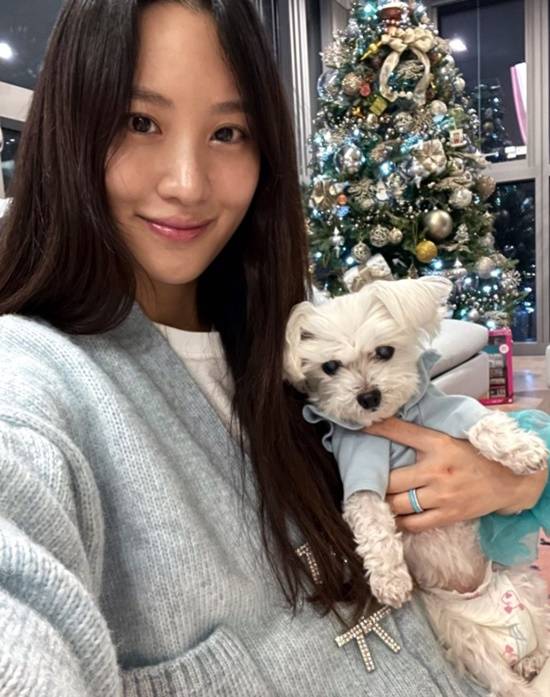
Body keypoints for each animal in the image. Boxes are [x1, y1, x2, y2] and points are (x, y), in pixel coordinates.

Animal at [284, 276, 550, 696]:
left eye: (384, 351)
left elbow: (485, 423)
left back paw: (533, 659)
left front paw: (523, 449)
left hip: (527, 585)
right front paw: (389, 579)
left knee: (542, 639)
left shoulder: (452, 411)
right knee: (504, 681)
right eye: (329, 367)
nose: (368, 396)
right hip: (459, 632)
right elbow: (371, 522)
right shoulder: (360, 472)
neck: (394, 422)